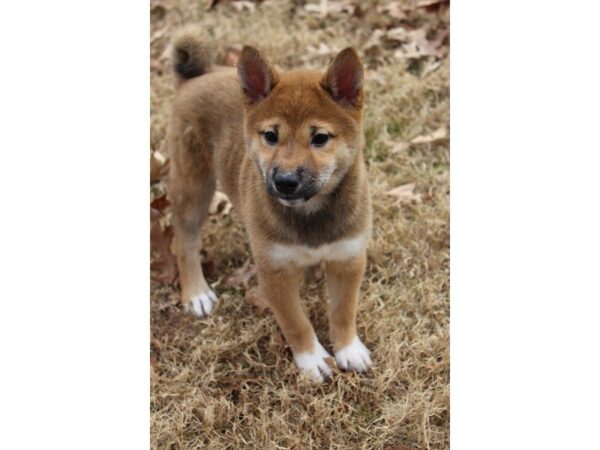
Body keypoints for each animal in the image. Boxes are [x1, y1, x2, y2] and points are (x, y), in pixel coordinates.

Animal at [164, 24, 370, 380]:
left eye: (320, 138)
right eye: (271, 136)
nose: (284, 182)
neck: (310, 213)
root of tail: (196, 78)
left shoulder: (348, 258)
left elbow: (344, 311)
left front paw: (348, 348)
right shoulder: (275, 272)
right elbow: (296, 323)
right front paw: (312, 359)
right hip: (193, 188)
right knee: (185, 243)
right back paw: (196, 292)